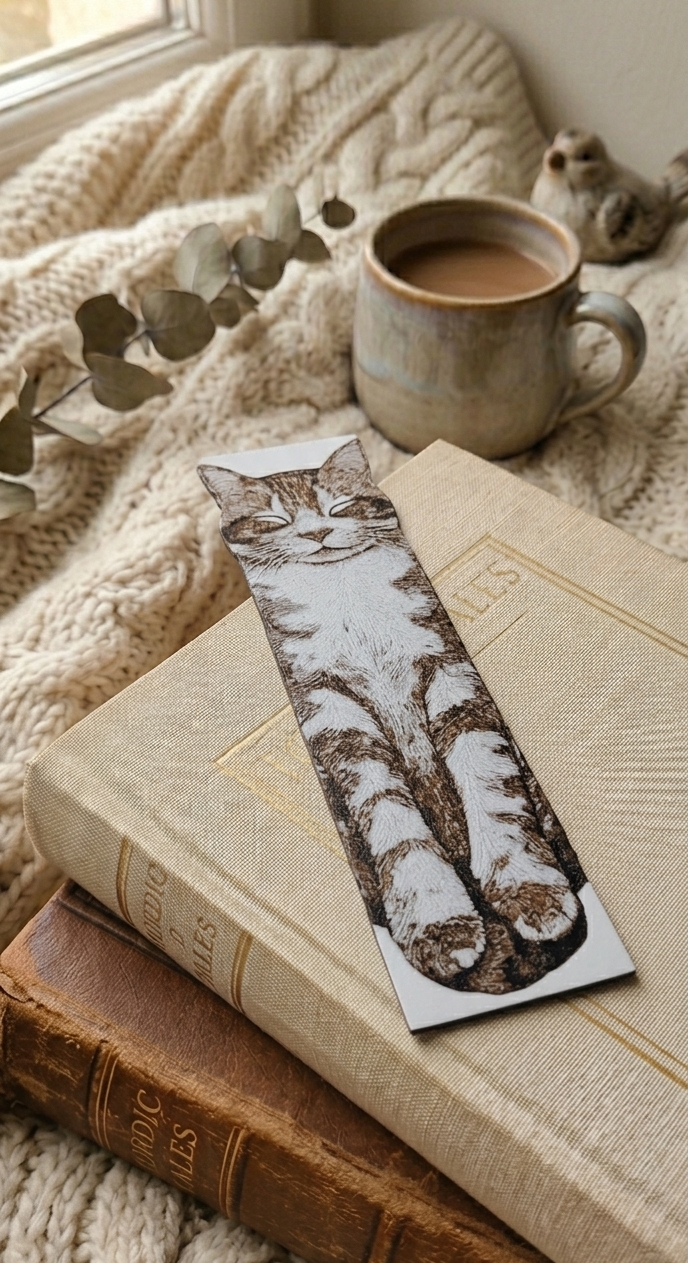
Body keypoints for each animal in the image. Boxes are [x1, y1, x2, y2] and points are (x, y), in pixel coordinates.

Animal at [199, 438, 587, 993]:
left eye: (339, 506)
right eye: (272, 519)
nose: (316, 533)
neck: (347, 600)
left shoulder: (450, 675)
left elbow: (491, 789)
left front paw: (532, 892)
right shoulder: (332, 711)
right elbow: (392, 818)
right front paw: (439, 924)